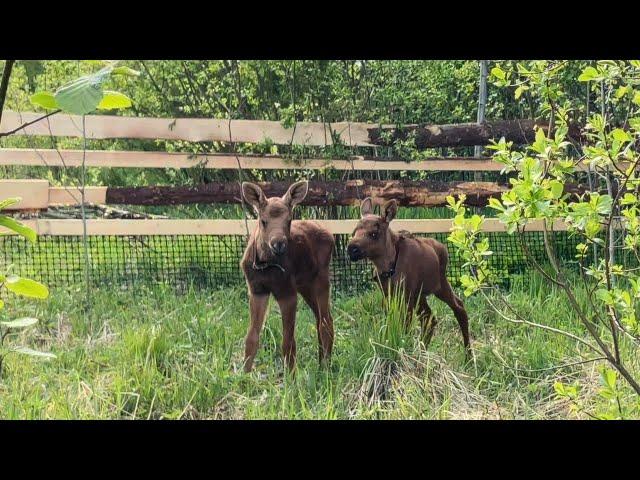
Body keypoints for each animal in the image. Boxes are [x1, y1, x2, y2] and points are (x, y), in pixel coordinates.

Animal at [236, 180, 336, 372]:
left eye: (289, 220)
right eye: (263, 220)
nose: (278, 244)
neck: (265, 264)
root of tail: (331, 235)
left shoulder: (287, 292)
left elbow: (288, 342)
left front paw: (291, 376)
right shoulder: (256, 290)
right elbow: (251, 338)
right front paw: (244, 374)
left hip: (321, 278)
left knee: (325, 321)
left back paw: (326, 368)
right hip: (305, 285)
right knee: (321, 318)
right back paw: (321, 363)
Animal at [348, 197, 472, 354]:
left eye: (374, 233)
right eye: (354, 231)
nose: (352, 249)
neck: (387, 267)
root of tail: (442, 248)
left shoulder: (406, 296)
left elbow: (404, 327)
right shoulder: (389, 295)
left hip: (440, 286)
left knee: (458, 307)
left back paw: (468, 354)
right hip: (420, 295)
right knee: (429, 318)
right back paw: (422, 352)